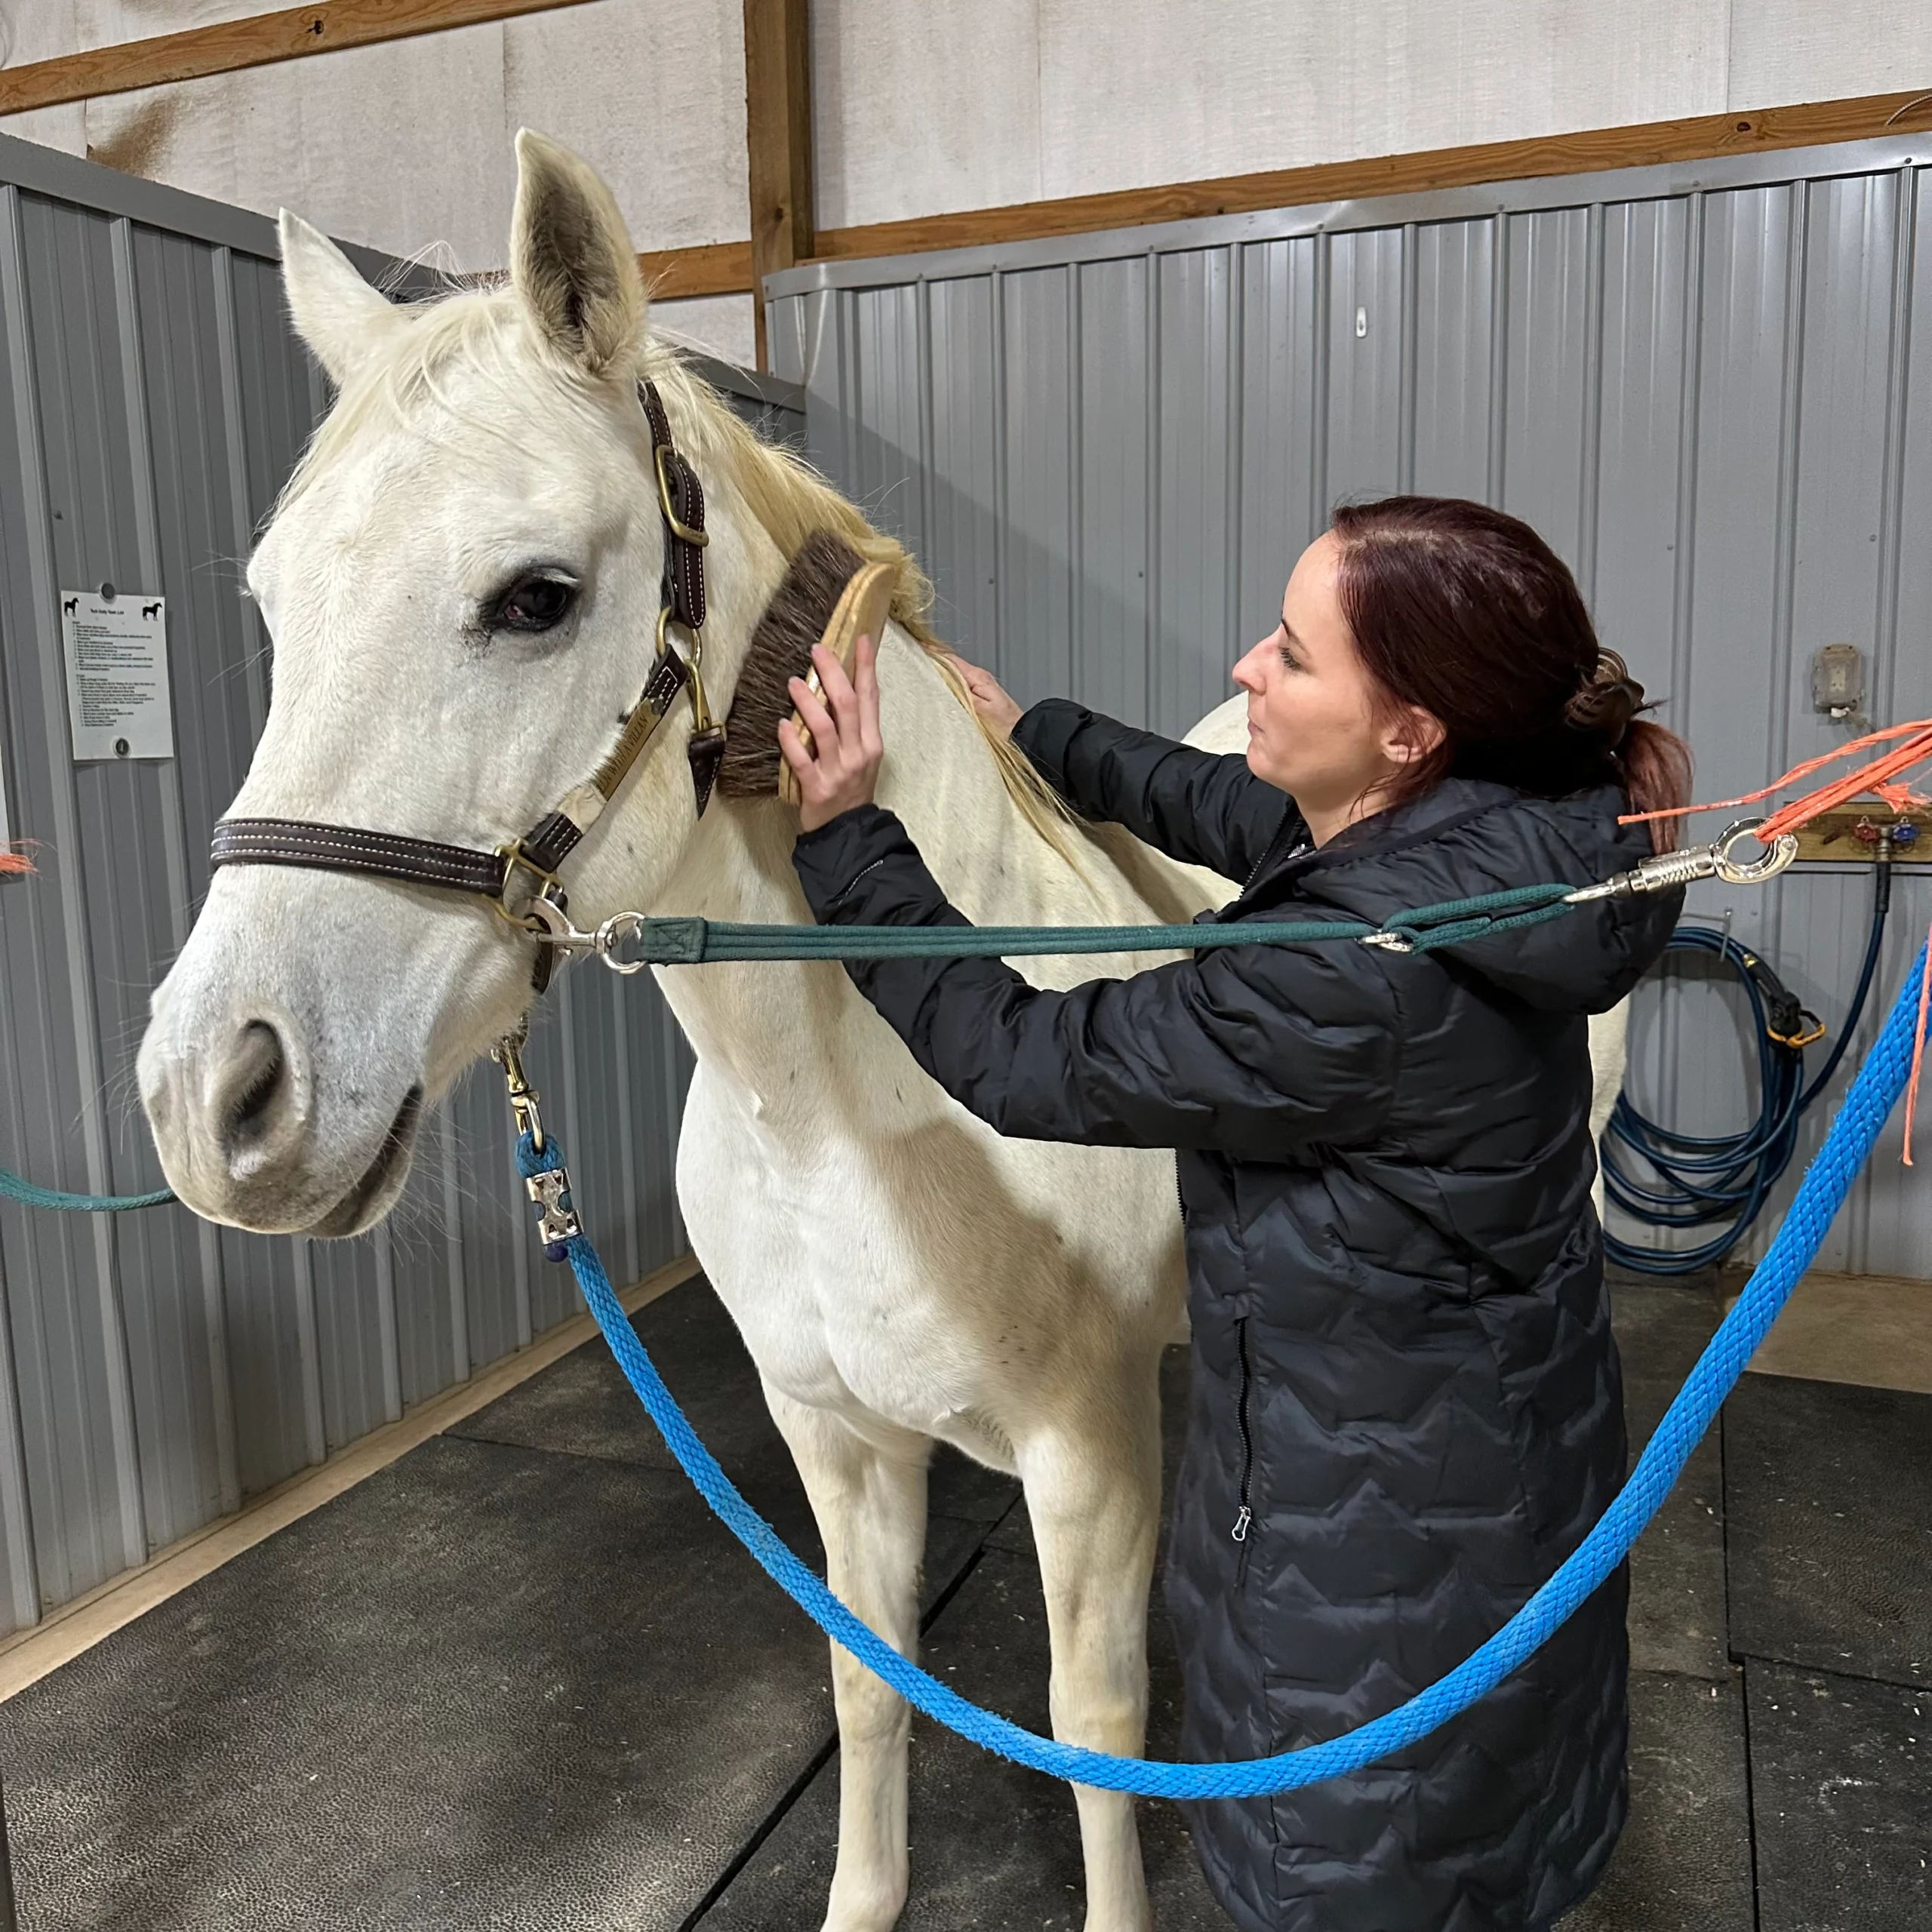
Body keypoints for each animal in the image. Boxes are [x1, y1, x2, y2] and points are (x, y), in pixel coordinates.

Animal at [137, 131, 1627, 1931]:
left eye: (536, 596)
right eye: (275, 604)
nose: (214, 1095)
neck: (835, 1118)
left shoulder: (1079, 1458)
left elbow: (1094, 1730)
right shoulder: (832, 1439)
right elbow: (867, 1683)